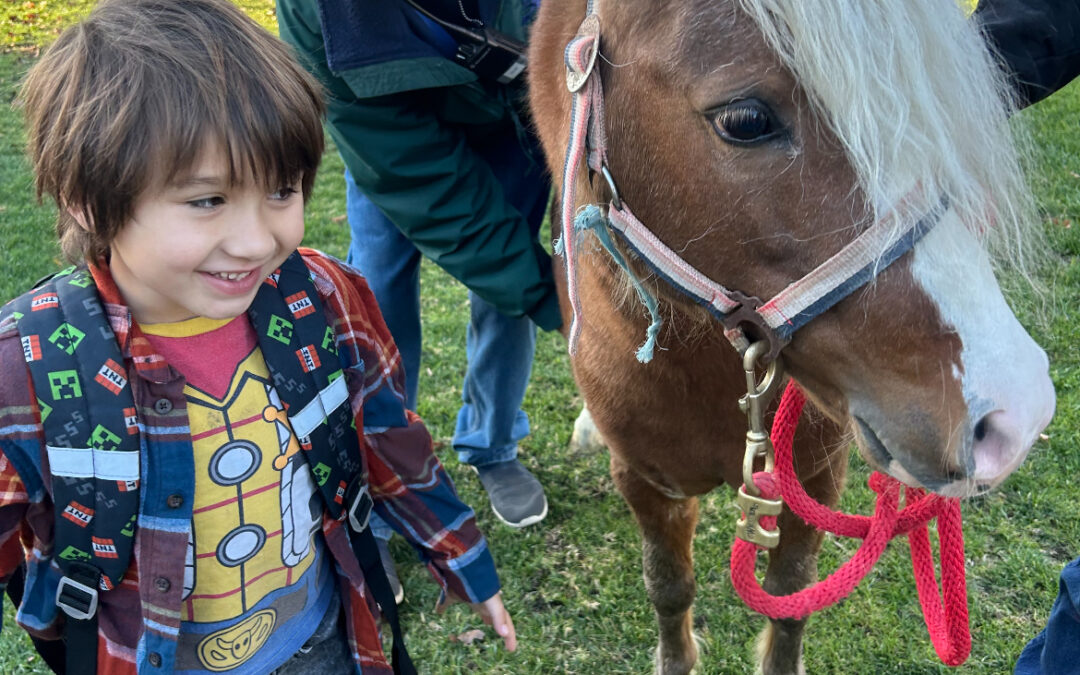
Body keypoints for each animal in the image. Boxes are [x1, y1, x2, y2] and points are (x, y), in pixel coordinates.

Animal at [527, 1, 1058, 673]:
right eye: (746, 120)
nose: (1015, 411)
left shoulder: (812, 478)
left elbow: (789, 598)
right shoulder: (647, 483)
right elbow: (669, 589)